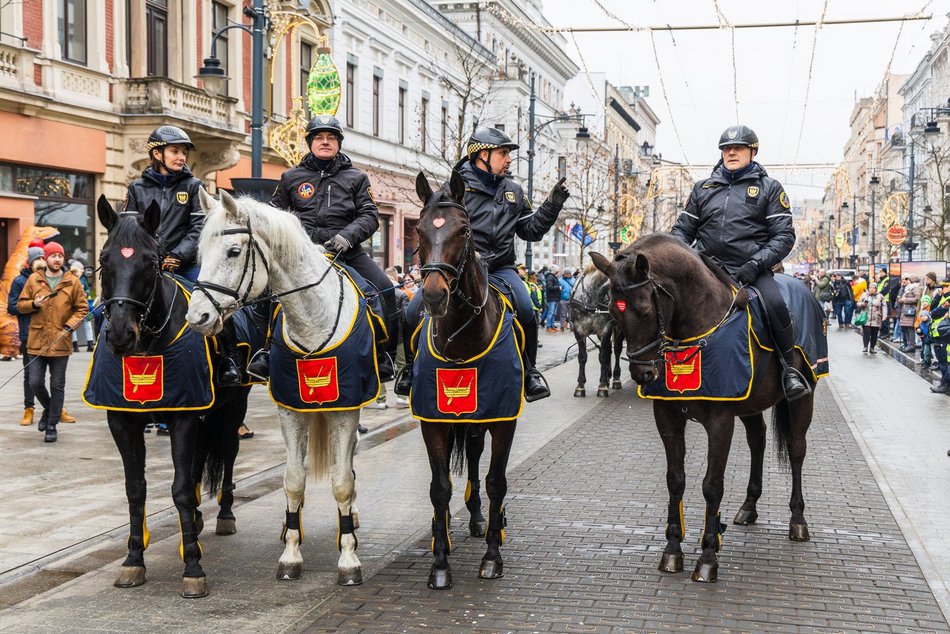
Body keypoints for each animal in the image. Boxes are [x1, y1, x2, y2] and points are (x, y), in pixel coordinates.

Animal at [95, 195, 253, 596]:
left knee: (227, 453)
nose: (120, 334)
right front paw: (133, 561)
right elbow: (136, 489)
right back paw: (194, 521)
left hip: (230, 411)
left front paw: (193, 567)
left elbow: (180, 488)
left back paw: (223, 515)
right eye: (104, 260)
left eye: (150, 263)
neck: (148, 344)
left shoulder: (184, 416)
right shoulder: (123, 421)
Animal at [186, 188, 364, 584]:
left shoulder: (345, 409)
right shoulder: (289, 409)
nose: (197, 318)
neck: (311, 320)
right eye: (200, 253)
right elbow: (293, 479)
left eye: (233, 251)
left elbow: (343, 481)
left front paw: (348, 558)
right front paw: (291, 553)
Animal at [412, 172, 520, 588]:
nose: (433, 296)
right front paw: (440, 562)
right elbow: (439, 486)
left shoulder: (503, 419)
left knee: (476, 457)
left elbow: (495, 482)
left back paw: (481, 521)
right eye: (419, 230)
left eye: (464, 230)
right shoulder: (433, 420)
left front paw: (492, 556)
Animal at [572, 266, 624, 396]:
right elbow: (582, 357)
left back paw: (615, 379)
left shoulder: (605, 329)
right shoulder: (578, 330)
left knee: (616, 350)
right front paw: (580, 387)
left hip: (619, 329)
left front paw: (602, 387)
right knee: (608, 349)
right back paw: (607, 378)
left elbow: (603, 356)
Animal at [592, 233, 816, 584]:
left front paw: (708, 556)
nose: (643, 374)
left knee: (796, 450)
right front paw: (672, 551)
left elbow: (712, 486)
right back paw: (749, 507)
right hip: (750, 405)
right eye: (614, 312)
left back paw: (798, 521)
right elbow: (675, 479)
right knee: (758, 441)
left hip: (803, 397)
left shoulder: (720, 420)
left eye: (644, 309)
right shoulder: (668, 417)